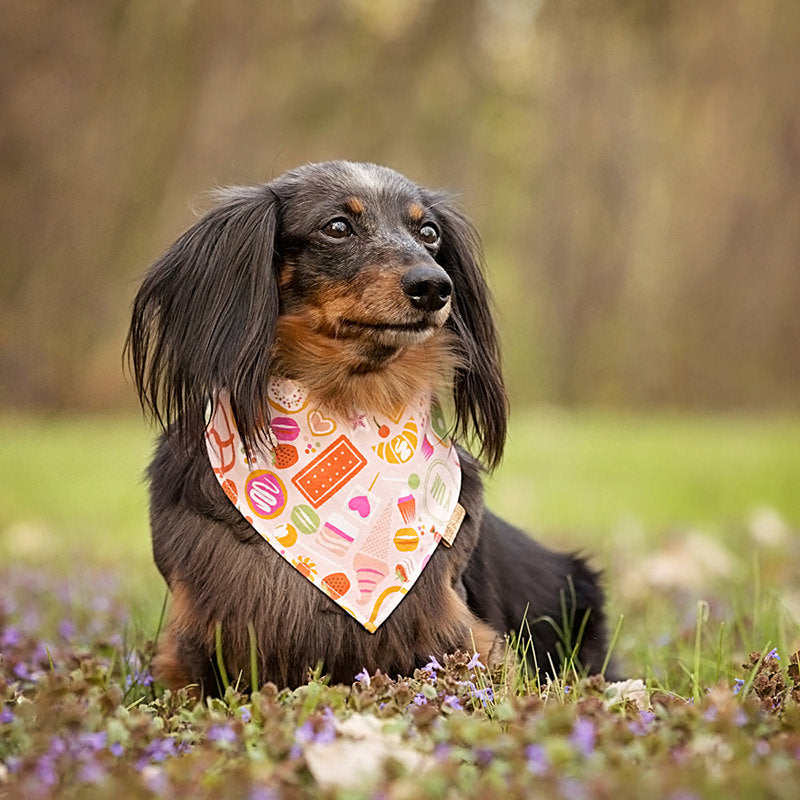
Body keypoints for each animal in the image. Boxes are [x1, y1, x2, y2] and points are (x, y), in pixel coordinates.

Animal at [126, 161, 612, 692]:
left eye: (429, 232)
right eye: (337, 227)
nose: (434, 286)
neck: (352, 408)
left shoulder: (464, 639)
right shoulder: (193, 643)